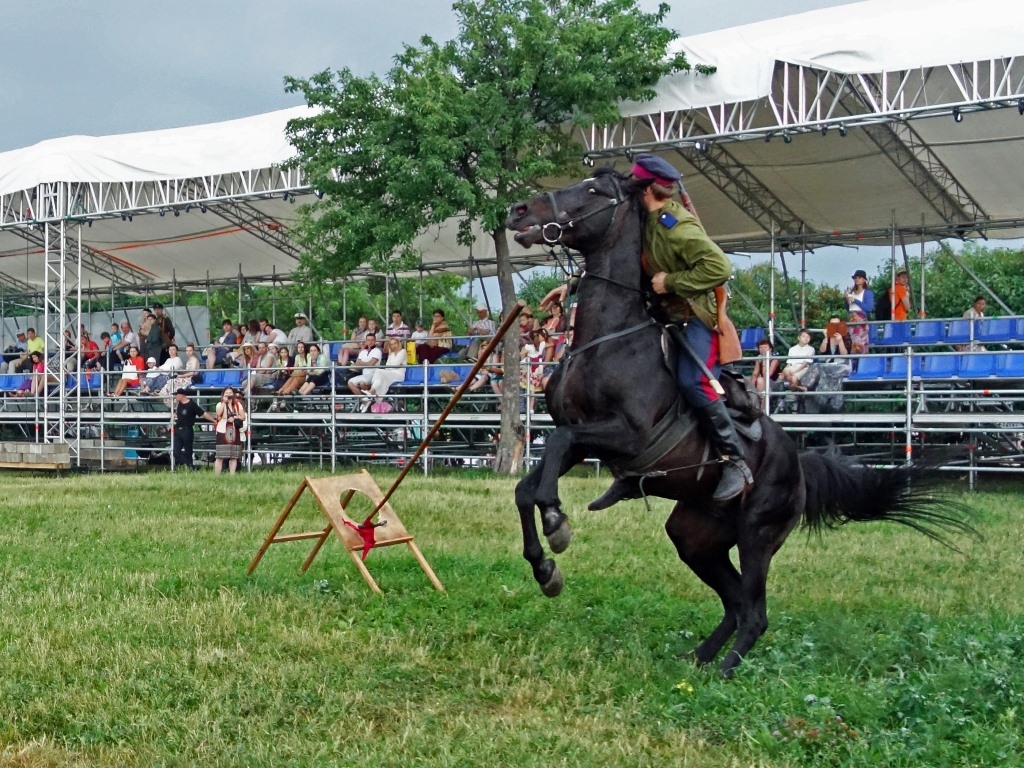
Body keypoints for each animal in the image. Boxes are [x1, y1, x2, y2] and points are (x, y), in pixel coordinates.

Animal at [505, 169, 966, 679]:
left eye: (591, 190)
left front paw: (556, 523)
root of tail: (799, 464)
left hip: (757, 535)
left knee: (755, 611)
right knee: (736, 602)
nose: (519, 211)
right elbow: (527, 485)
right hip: (695, 538)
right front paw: (545, 568)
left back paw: (723, 671)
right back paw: (699, 660)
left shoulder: (625, 436)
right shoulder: (587, 442)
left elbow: (552, 457)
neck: (609, 341)